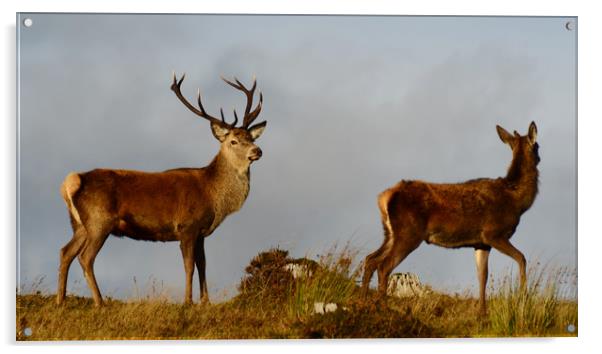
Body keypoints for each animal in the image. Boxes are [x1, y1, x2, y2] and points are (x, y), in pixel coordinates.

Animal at [56, 73, 268, 306]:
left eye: (251, 138)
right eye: (233, 141)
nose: (257, 151)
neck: (213, 196)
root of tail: (72, 182)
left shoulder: (201, 232)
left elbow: (202, 265)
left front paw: (206, 302)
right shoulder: (187, 226)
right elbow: (189, 266)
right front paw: (188, 302)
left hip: (80, 225)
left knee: (65, 252)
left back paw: (60, 300)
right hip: (99, 221)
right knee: (85, 257)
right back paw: (100, 302)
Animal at [360, 120, 540, 314]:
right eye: (537, 145)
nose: (539, 157)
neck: (517, 201)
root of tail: (385, 197)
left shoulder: (481, 243)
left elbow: (482, 276)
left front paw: (482, 313)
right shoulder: (493, 233)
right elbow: (521, 258)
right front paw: (523, 300)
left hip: (390, 233)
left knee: (370, 259)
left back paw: (363, 300)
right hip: (408, 232)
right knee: (383, 266)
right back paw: (383, 307)